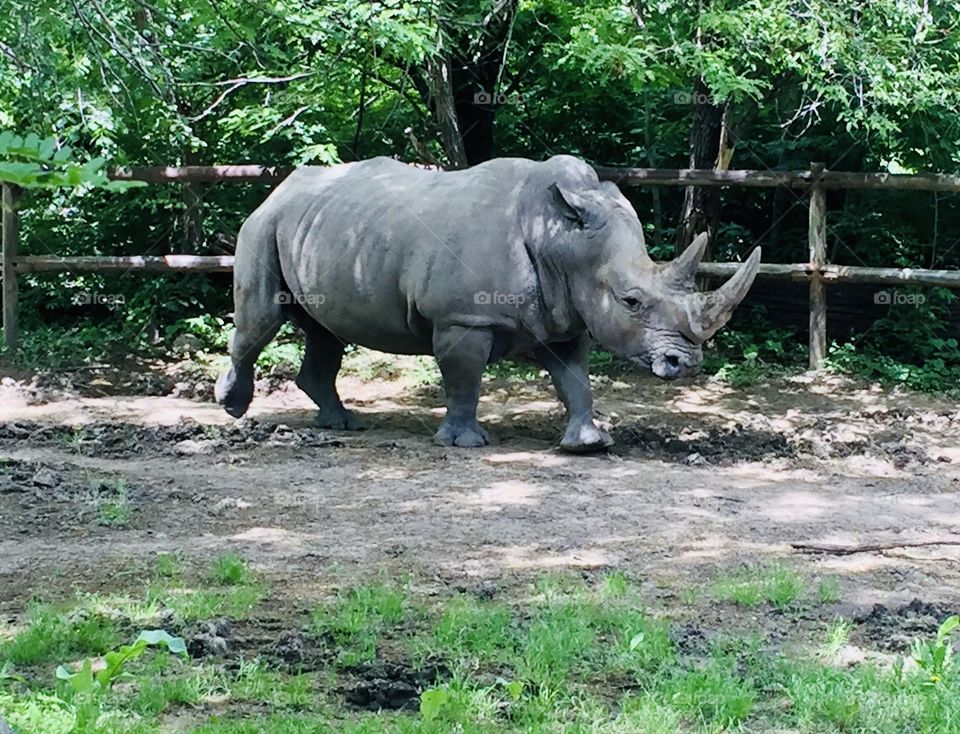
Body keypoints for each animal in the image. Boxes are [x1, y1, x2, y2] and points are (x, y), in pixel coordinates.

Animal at [215, 155, 760, 452]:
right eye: (631, 301)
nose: (685, 364)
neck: (561, 239)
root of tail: (278, 188)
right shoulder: (462, 317)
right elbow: (464, 379)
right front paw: (463, 443)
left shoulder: (565, 316)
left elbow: (575, 380)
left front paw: (588, 445)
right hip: (262, 226)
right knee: (261, 320)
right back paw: (233, 406)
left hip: (321, 228)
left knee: (325, 331)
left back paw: (342, 424)